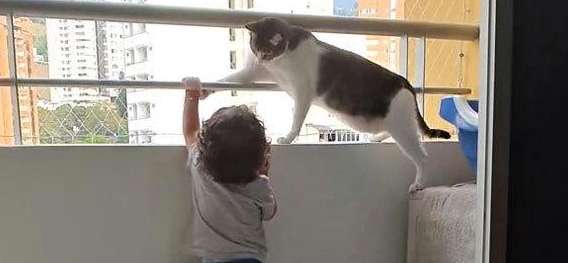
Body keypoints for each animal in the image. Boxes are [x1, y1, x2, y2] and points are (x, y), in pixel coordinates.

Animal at [220, 17, 450, 193]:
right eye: (254, 48)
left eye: (266, 52)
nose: (260, 60)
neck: (282, 58)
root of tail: (404, 82)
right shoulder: (255, 73)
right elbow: (227, 79)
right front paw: (211, 88)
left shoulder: (302, 92)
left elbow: (296, 120)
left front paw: (288, 138)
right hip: (392, 124)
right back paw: (377, 138)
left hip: (402, 129)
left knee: (422, 157)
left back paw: (419, 183)